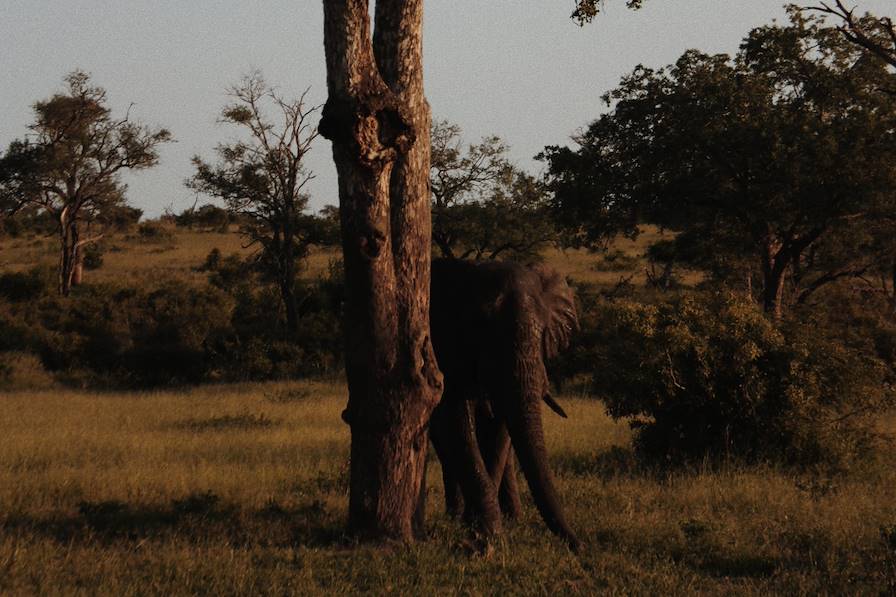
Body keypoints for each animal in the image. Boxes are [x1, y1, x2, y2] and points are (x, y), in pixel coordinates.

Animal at [422, 258, 580, 552]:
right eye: (481, 330)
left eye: (543, 332)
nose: (579, 546)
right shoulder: (445, 346)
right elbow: (457, 422)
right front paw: (485, 531)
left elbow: (500, 432)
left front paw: (481, 526)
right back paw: (454, 516)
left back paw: (511, 516)